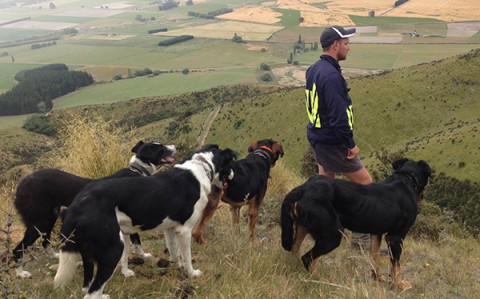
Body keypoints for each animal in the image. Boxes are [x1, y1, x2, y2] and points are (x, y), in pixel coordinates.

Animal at [13, 141, 176, 278]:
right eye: (161, 147)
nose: (175, 146)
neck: (137, 170)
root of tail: (21, 184)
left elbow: (137, 242)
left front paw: (143, 255)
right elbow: (136, 241)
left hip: (49, 218)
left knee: (45, 241)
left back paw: (55, 256)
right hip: (39, 222)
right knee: (18, 250)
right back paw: (21, 273)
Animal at [53, 144, 237, 298]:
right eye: (231, 165)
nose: (234, 175)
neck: (202, 167)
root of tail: (78, 204)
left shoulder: (170, 229)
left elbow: (174, 251)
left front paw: (177, 267)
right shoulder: (185, 230)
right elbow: (186, 256)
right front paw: (191, 273)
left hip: (94, 250)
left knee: (87, 287)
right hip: (113, 250)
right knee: (92, 292)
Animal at [280, 158, 434, 292]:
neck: (406, 178)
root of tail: (303, 189)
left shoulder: (376, 233)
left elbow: (376, 257)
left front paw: (378, 278)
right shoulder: (396, 237)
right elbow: (396, 266)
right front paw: (400, 285)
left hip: (303, 227)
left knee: (294, 249)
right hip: (332, 235)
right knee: (307, 258)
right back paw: (320, 280)